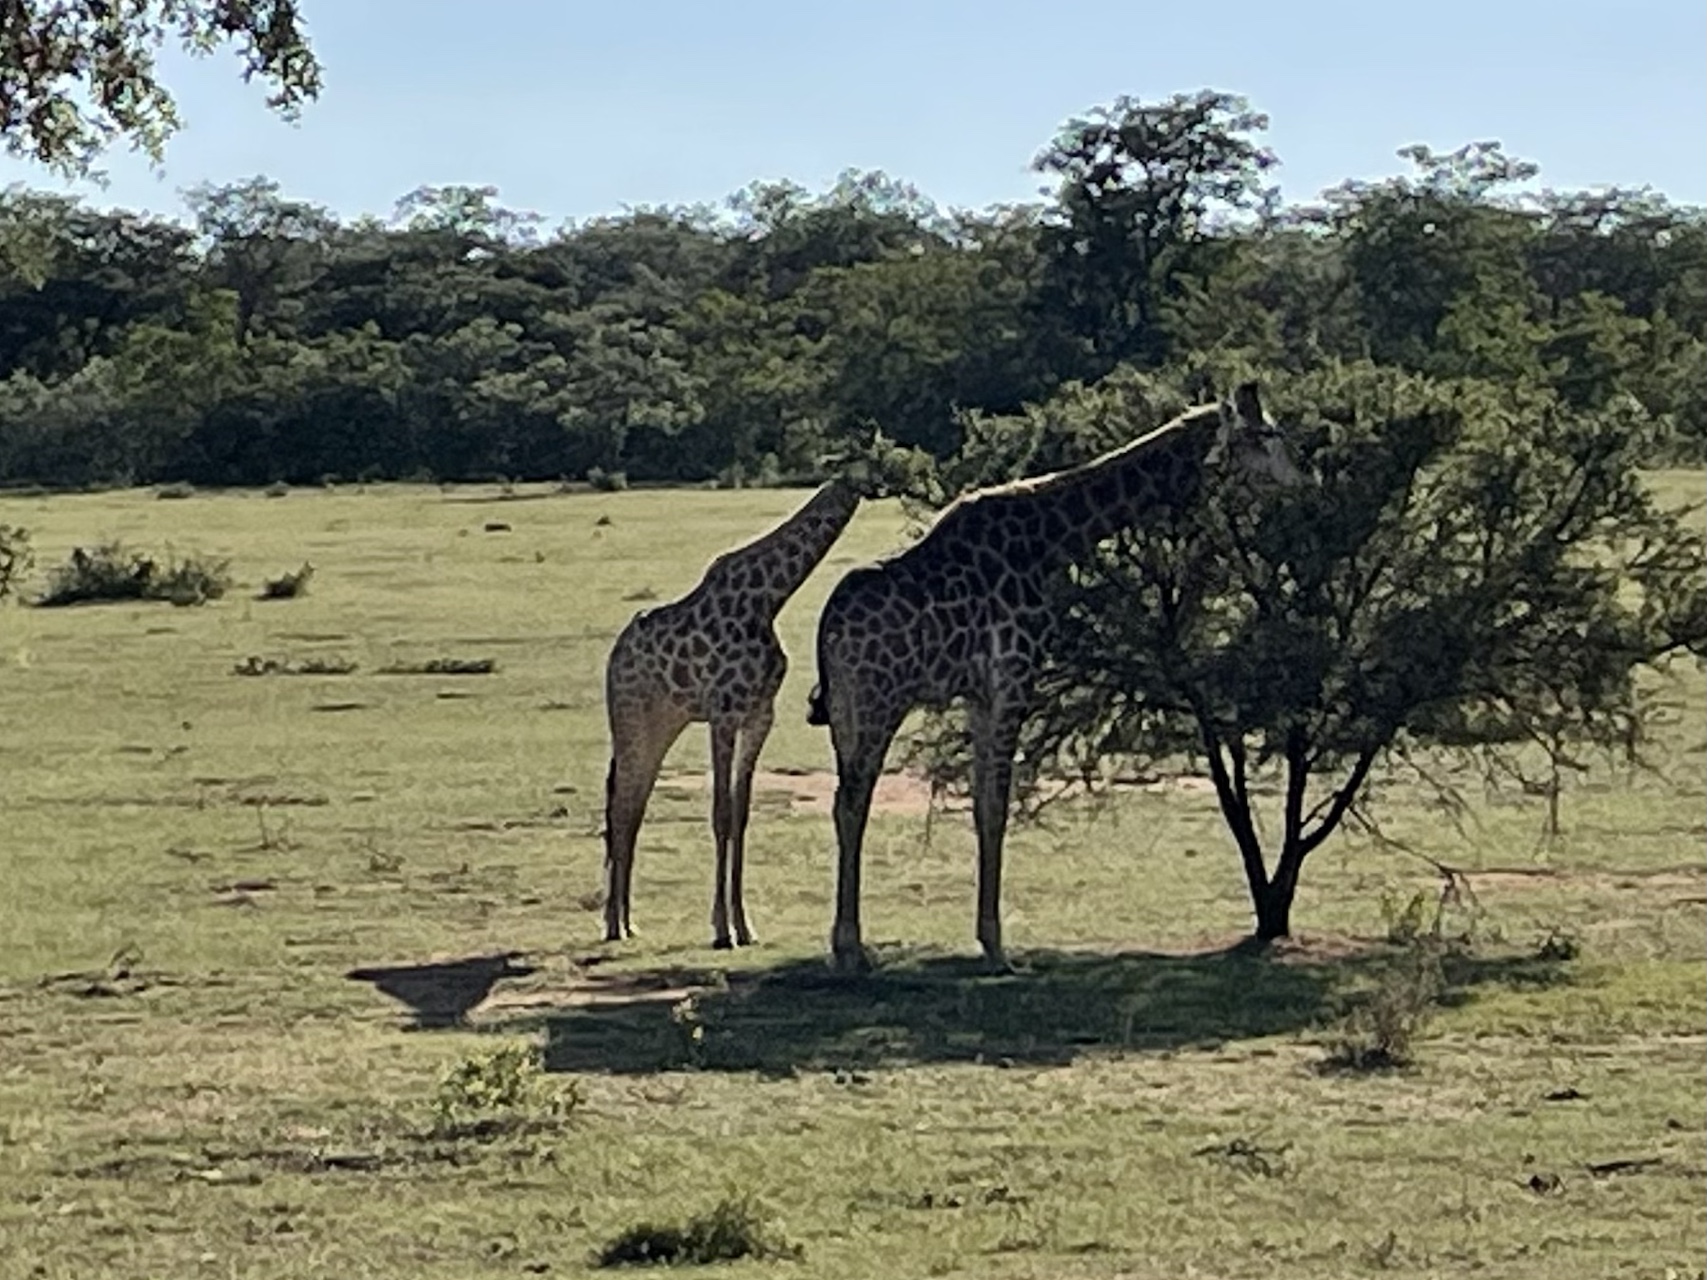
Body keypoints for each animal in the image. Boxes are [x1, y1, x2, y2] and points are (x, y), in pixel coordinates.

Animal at [602, 478, 864, 949]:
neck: (769, 597)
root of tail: (615, 656)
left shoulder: (759, 716)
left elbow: (740, 815)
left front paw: (745, 926)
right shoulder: (723, 715)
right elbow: (721, 814)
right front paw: (723, 930)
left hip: (660, 726)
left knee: (631, 808)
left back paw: (628, 921)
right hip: (629, 718)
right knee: (620, 809)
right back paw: (615, 925)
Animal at [807, 383, 1303, 972]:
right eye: (1266, 432)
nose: (1304, 479)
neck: (1048, 542)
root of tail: (828, 630)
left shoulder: (979, 693)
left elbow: (982, 805)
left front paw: (989, 940)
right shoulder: (1012, 680)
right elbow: (997, 806)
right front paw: (998, 949)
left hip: (845, 713)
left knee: (844, 801)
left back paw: (846, 946)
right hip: (879, 702)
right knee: (853, 801)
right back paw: (851, 948)